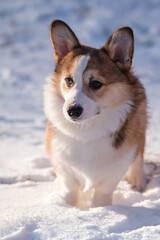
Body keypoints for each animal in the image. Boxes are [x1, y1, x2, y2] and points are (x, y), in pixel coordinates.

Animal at [44, 19, 148, 207]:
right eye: (68, 80)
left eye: (96, 84)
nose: (72, 111)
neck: (87, 130)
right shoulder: (62, 162)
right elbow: (69, 188)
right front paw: (68, 207)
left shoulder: (117, 166)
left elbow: (103, 191)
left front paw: (100, 209)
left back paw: (138, 182)